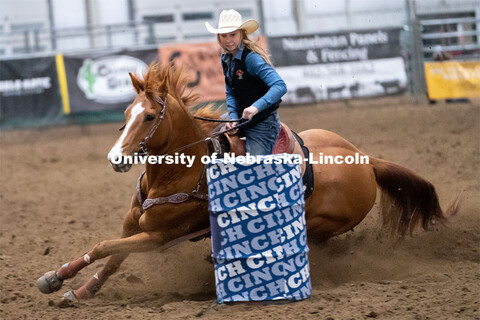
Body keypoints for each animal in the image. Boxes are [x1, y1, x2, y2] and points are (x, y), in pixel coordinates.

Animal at [36, 61, 458, 302]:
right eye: (127, 113)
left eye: (150, 116)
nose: (116, 158)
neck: (182, 171)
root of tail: (367, 162)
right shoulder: (133, 225)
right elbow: (111, 256)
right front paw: (73, 286)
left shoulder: (157, 237)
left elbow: (104, 247)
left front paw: (58, 277)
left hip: (321, 223)